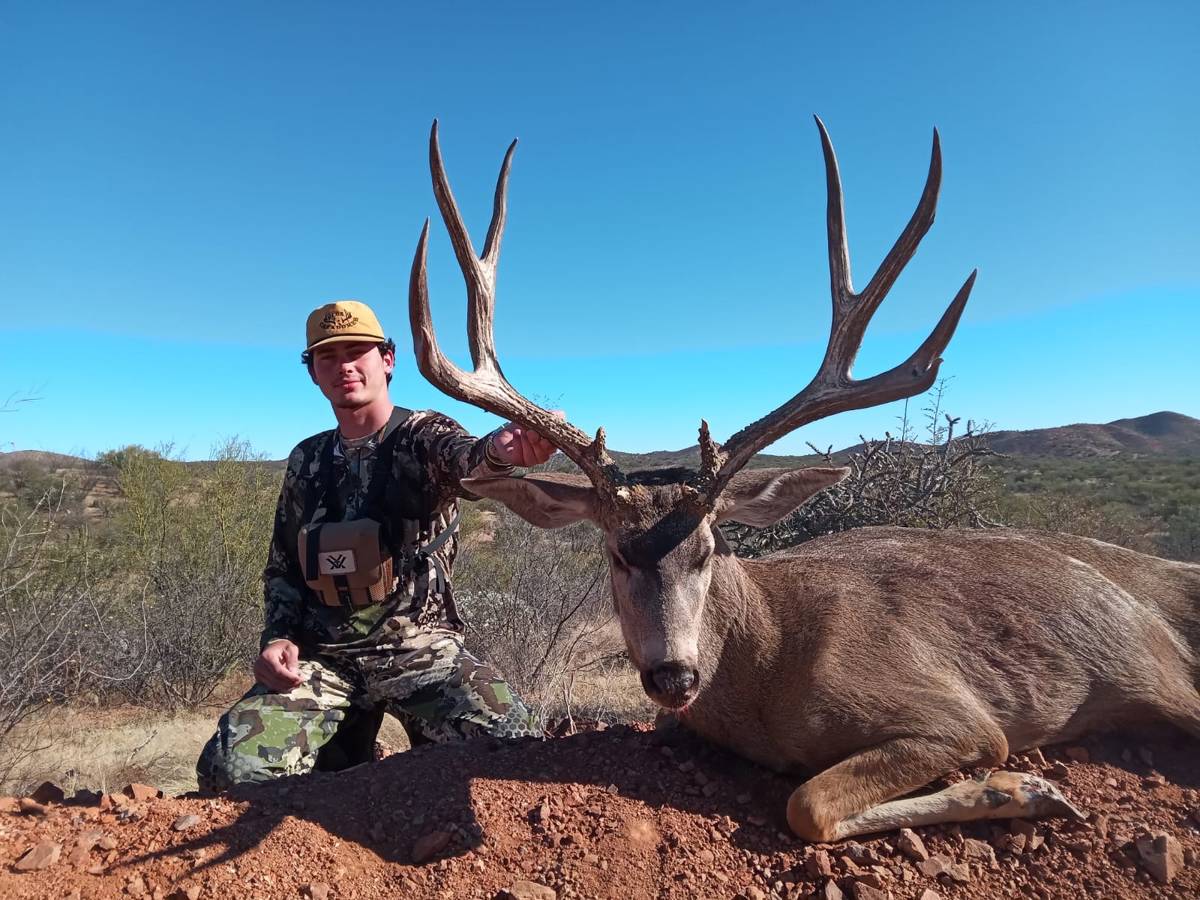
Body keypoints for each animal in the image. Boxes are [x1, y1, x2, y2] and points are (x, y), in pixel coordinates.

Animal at [406, 119, 1200, 841]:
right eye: (615, 553)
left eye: (711, 549)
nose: (674, 678)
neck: (768, 666)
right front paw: (1027, 789)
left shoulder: (953, 713)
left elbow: (808, 803)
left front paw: (1028, 786)